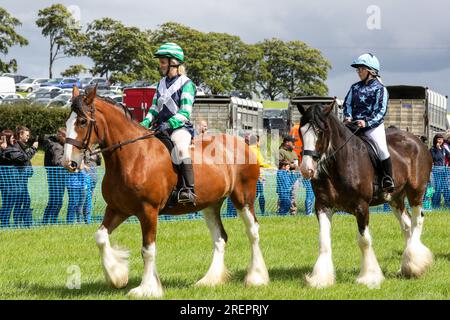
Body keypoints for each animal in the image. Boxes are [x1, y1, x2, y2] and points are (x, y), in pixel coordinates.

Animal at [62, 86, 268, 298]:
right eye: (67, 121)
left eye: (82, 121)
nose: (69, 162)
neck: (133, 156)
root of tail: (244, 145)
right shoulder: (117, 209)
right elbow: (101, 237)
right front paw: (117, 276)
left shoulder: (148, 211)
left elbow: (147, 250)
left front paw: (146, 288)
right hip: (210, 206)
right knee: (220, 238)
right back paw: (209, 280)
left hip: (243, 199)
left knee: (253, 232)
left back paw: (256, 278)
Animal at [298, 103, 432, 290]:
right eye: (300, 131)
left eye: (320, 131)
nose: (307, 169)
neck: (339, 164)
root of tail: (417, 141)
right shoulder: (323, 206)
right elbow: (323, 241)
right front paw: (320, 279)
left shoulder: (361, 206)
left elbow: (364, 240)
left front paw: (369, 277)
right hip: (395, 199)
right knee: (406, 226)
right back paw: (405, 267)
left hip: (416, 192)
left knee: (417, 221)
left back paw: (415, 265)